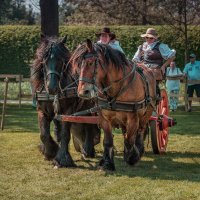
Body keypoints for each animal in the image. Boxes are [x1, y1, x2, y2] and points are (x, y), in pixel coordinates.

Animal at [30, 37, 101, 167]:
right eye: (44, 60)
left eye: (60, 60)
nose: (51, 87)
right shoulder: (43, 111)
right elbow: (44, 134)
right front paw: (50, 152)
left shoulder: (68, 111)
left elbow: (65, 134)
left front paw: (63, 158)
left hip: (89, 106)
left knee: (89, 125)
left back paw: (87, 149)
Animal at [71, 39, 157, 171]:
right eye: (78, 65)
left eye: (90, 63)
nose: (82, 92)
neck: (117, 88)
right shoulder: (104, 118)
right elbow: (108, 141)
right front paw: (107, 163)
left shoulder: (133, 118)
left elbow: (129, 140)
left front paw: (132, 157)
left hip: (146, 114)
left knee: (140, 131)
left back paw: (137, 152)